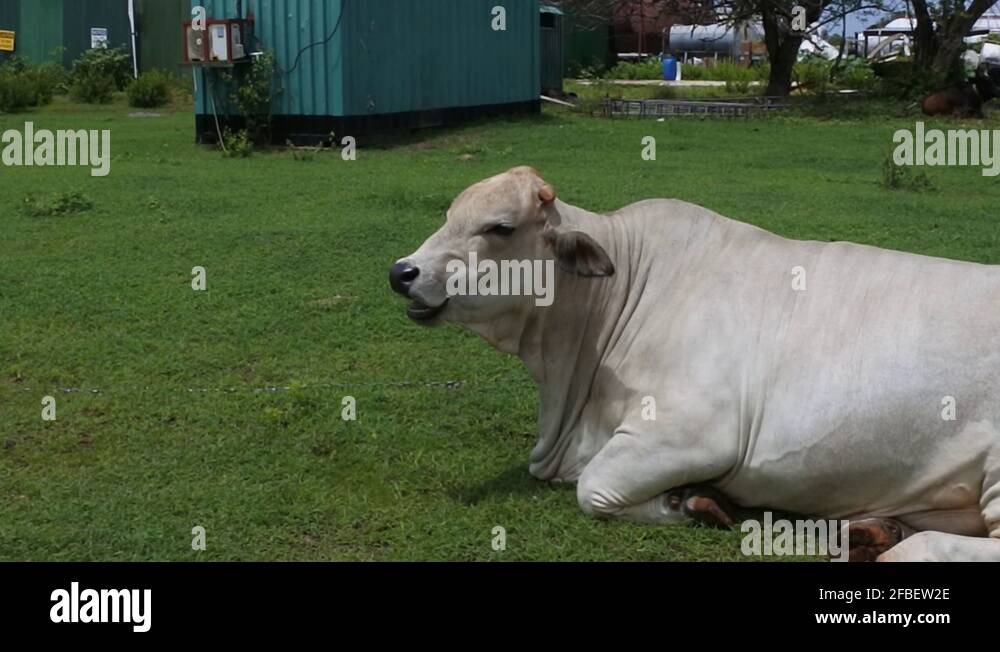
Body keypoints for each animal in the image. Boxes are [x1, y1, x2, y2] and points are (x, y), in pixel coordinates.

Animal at [389, 166, 1000, 561]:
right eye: (448, 215)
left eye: (500, 228)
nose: (402, 272)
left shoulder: (695, 432)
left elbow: (594, 489)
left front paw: (692, 503)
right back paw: (873, 531)